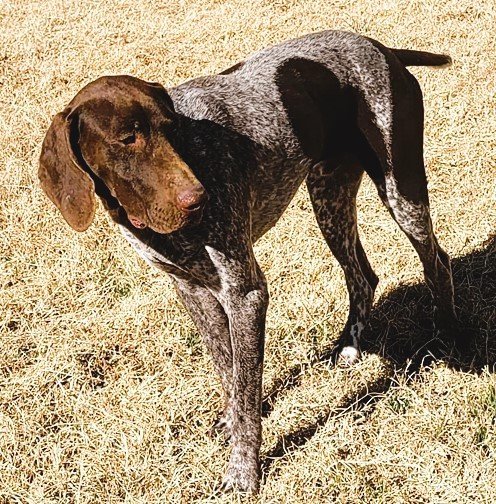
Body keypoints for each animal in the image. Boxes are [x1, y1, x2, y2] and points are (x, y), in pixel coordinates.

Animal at [38, 30, 458, 492]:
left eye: (172, 129)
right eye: (126, 139)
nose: (199, 200)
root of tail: (383, 50)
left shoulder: (245, 294)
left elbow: (245, 382)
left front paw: (244, 469)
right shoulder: (194, 291)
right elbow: (229, 371)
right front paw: (233, 418)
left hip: (401, 191)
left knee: (437, 263)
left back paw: (448, 338)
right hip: (328, 196)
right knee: (363, 276)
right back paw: (350, 347)